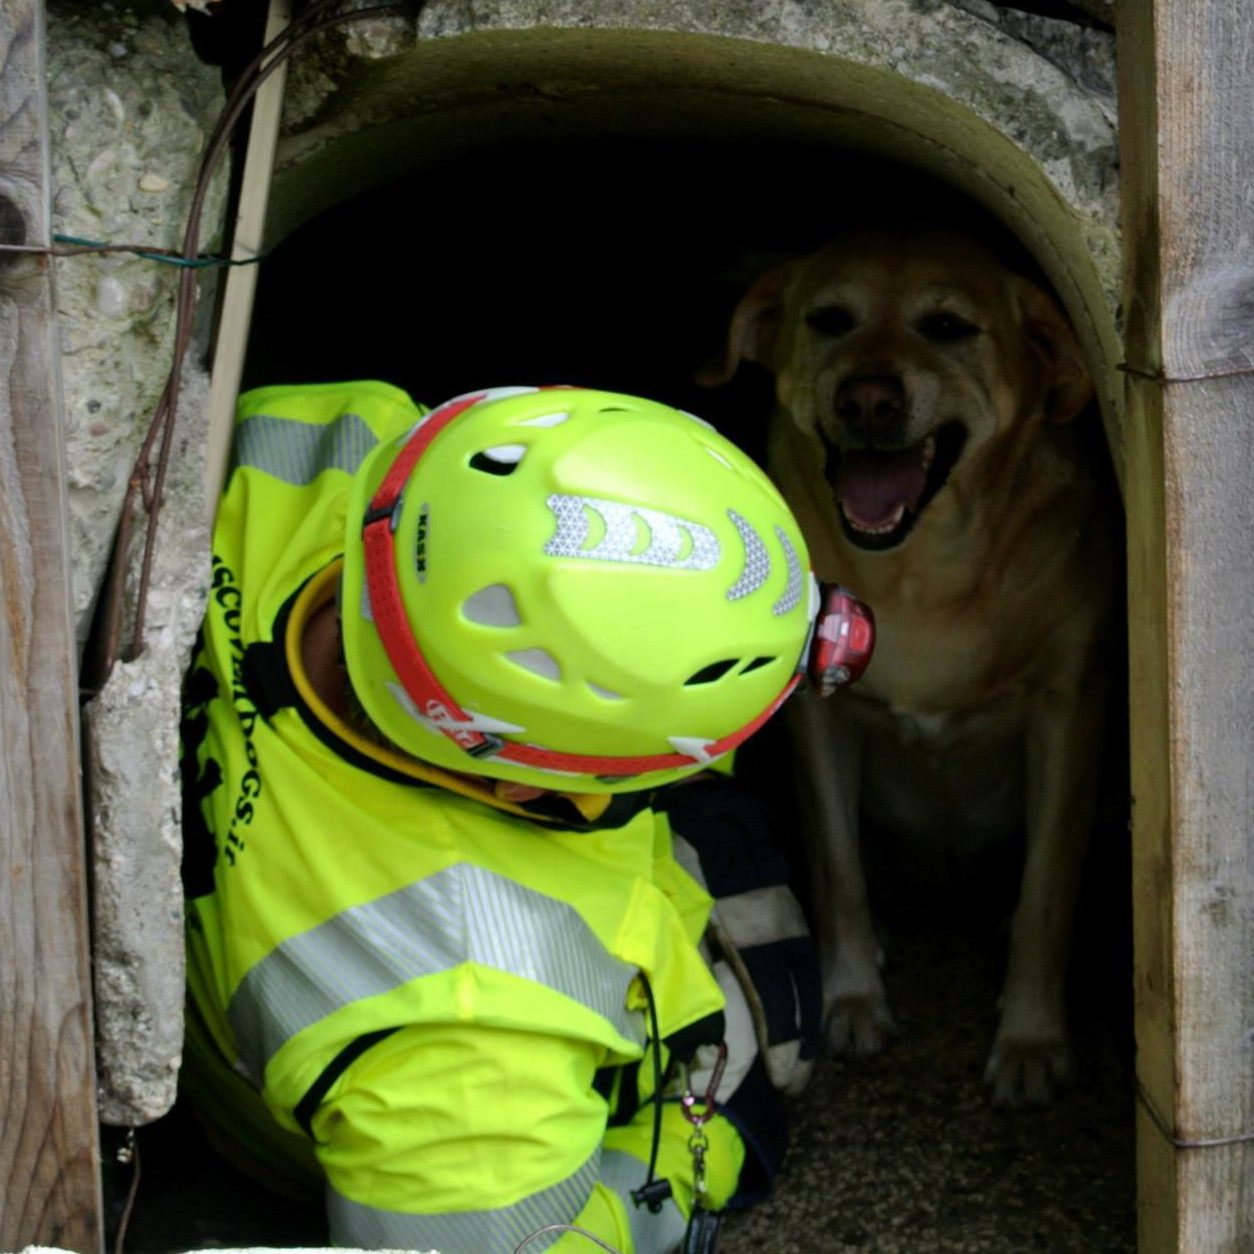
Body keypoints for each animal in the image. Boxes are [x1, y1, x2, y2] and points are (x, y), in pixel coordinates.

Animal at [717, 228, 1118, 1108]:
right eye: (830, 319)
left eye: (948, 327)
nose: (867, 399)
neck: (920, 571)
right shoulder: (818, 717)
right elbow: (838, 870)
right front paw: (851, 999)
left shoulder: (1068, 714)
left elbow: (1045, 896)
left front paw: (1031, 1039)